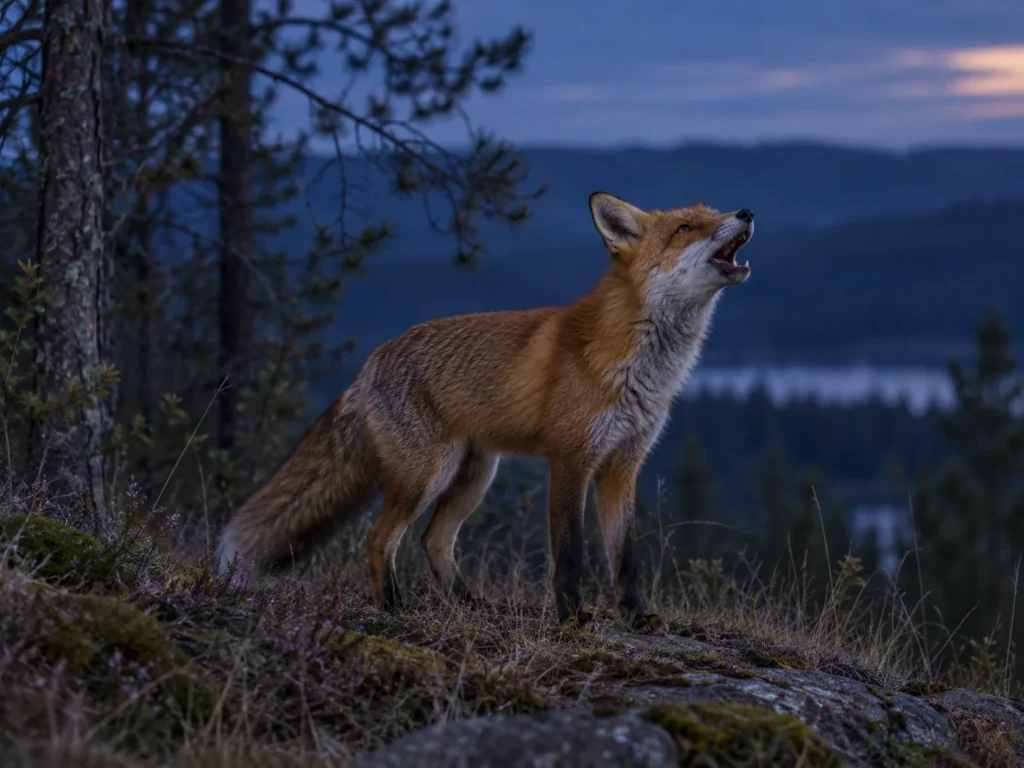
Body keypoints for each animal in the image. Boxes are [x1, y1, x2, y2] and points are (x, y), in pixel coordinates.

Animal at [217, 191, 754, 631]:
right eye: (686, 228)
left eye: (713, 214)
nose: (746, 212)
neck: (642, 367)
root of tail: (371, 361)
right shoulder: (571, 459)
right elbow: (569, 552)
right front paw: (572, 617)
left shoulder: (623, 465)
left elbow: (625, 558)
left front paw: (637, 616)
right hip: (425, 476)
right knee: (379, 537)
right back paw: (392, 607)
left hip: (473, 477)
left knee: (433, 541)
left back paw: (470, 604)